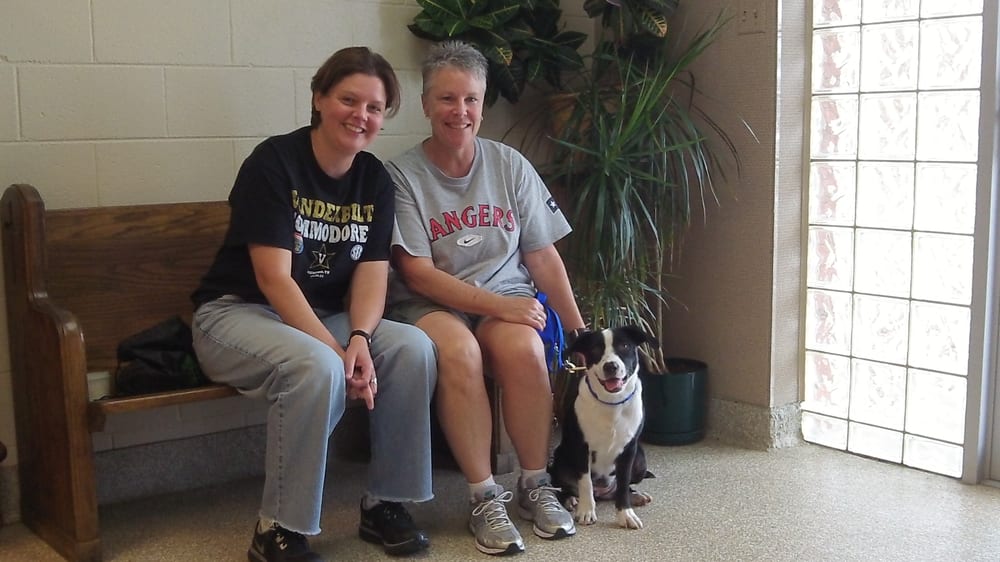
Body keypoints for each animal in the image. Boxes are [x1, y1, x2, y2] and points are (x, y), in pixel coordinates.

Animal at [549, 325, 657, 529]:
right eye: (595, 349)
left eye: (624, 346)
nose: (611, 366)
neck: (611, 402)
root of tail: (603, 492)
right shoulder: (581, 447)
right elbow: (585, 483)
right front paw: (586, 511)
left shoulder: (629, 450)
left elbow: (623, 484)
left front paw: (625, 514)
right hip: (559, 458)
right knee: (568, 488)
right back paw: (571, 500)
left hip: (640, 460)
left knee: (621, 487)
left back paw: (636, 496)